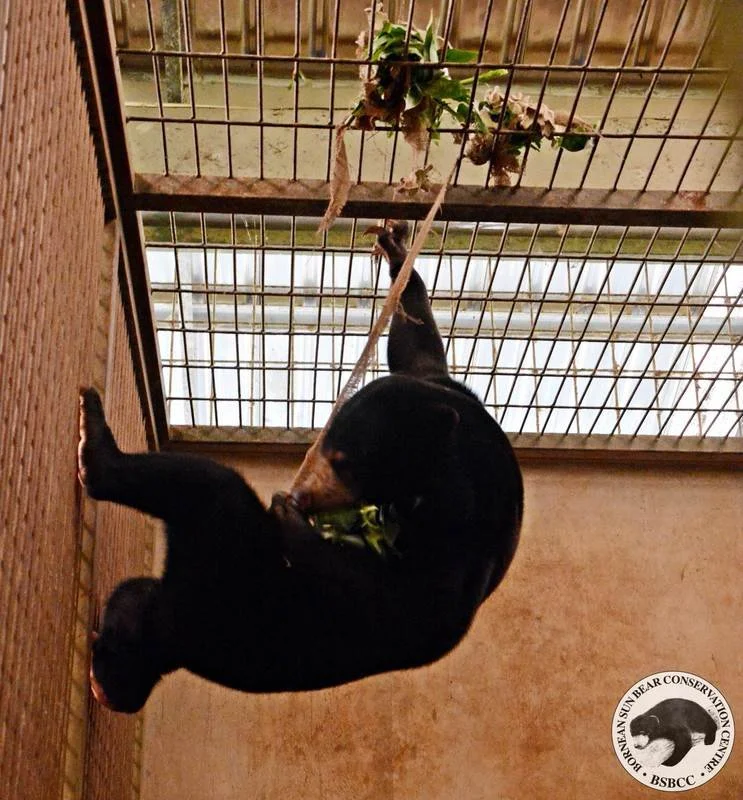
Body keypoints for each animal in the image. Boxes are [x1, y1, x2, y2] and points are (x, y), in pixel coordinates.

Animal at [79, 221, 523, 713]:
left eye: (344, 463)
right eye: (327, 444)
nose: (303, 495)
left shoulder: (456, 556)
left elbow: (393, 601)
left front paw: (289, 516)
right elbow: (415, 342)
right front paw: (397, 254)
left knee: (208, 490)